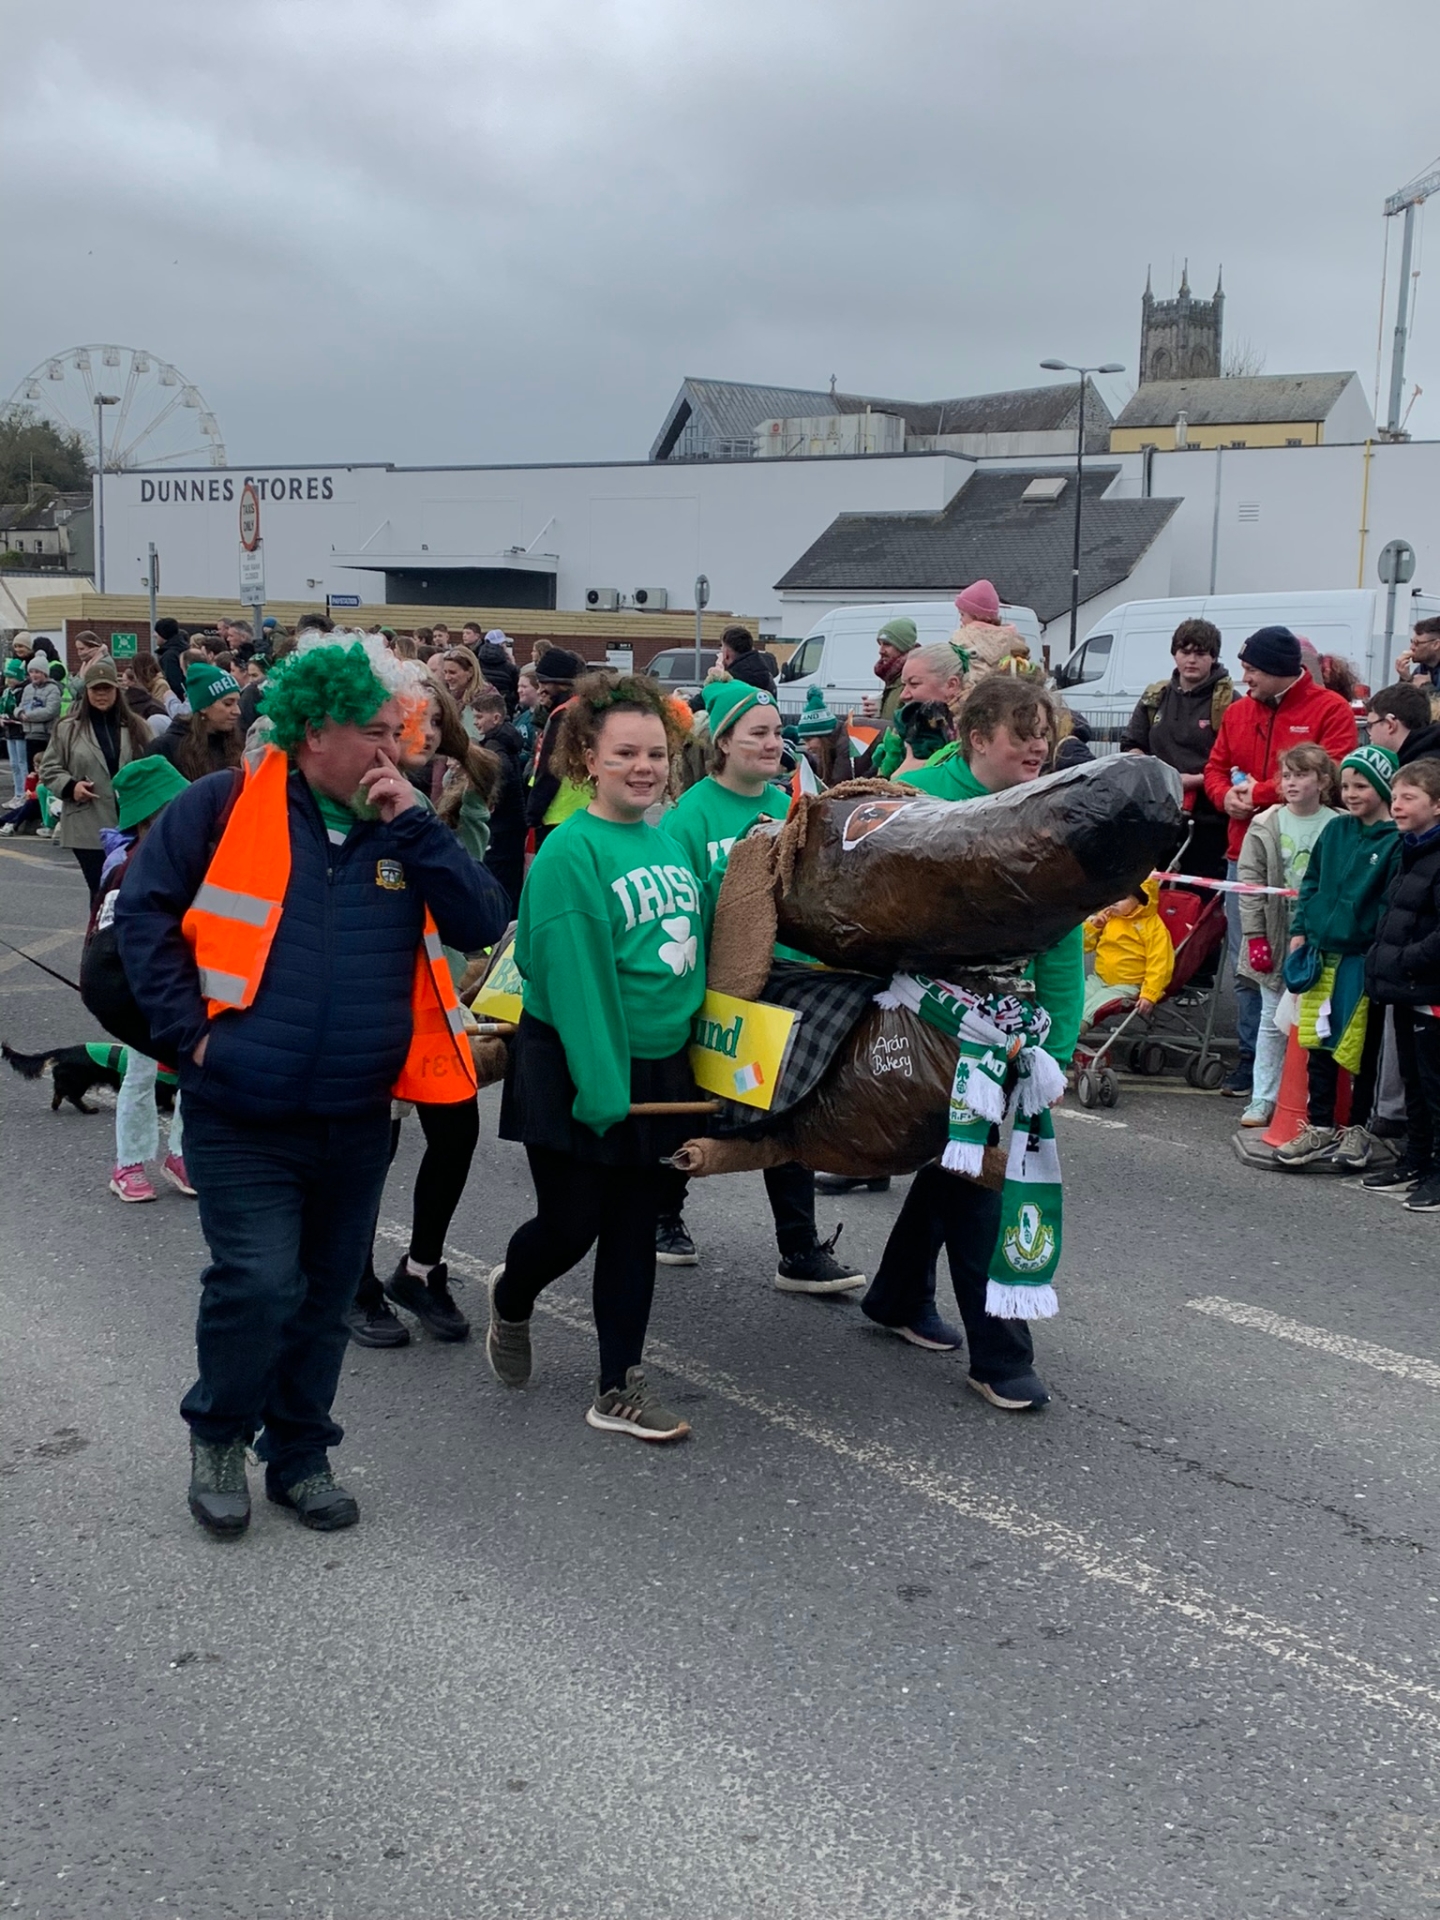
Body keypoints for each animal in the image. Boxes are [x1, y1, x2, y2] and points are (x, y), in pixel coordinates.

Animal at [1, 1041, 175, 1115]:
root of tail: (63, 1051)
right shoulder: (160, 1090)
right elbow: (167, 1101)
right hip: (80, 1081)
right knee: (72, 1096)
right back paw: (89, 1109)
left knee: (59, 1091)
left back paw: (56, 1105)